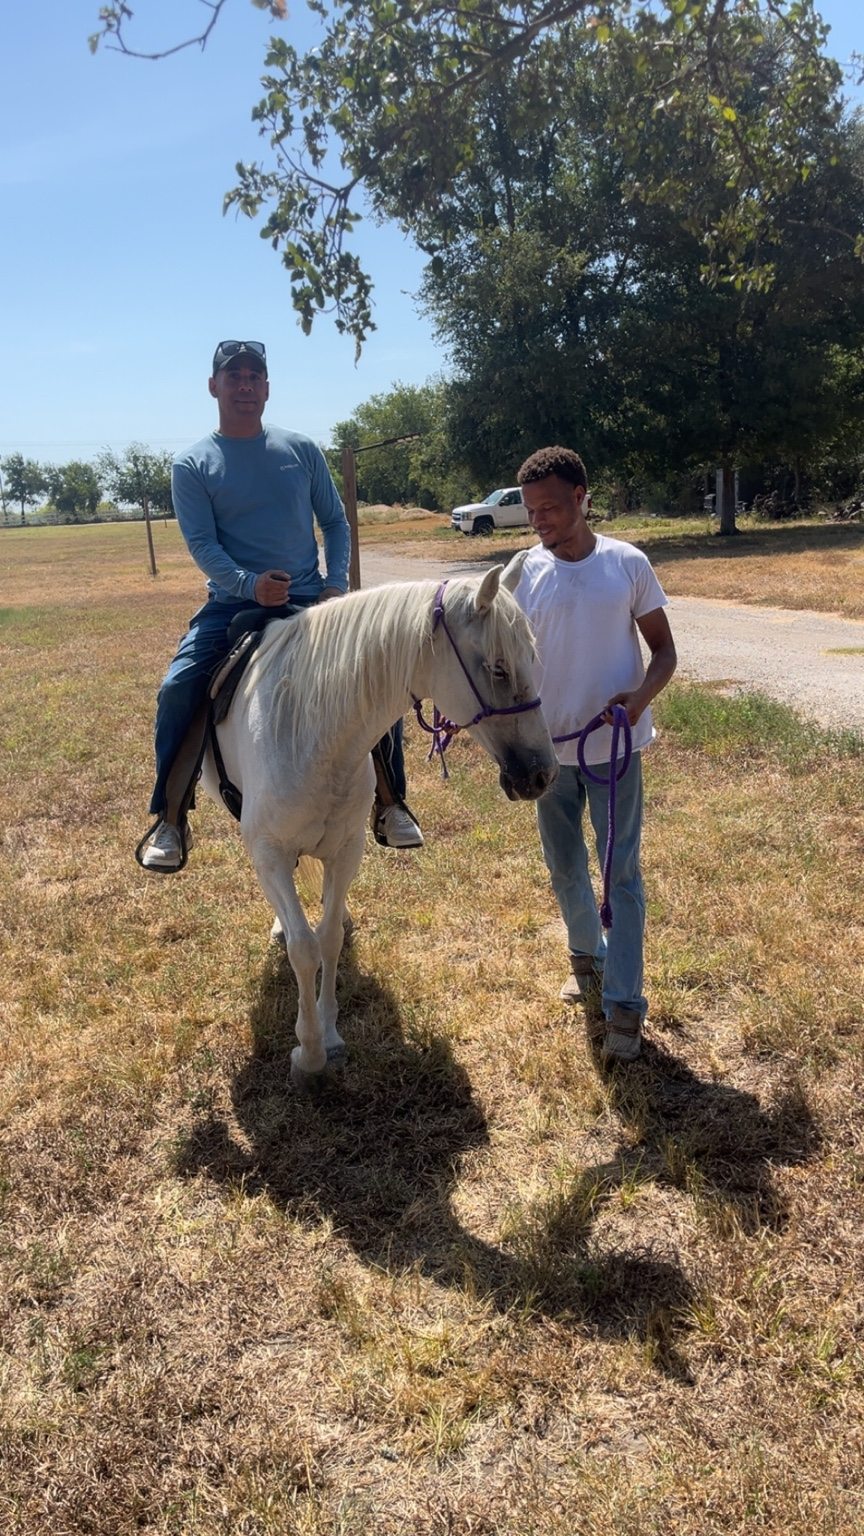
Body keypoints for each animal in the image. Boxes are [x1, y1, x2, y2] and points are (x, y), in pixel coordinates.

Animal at [200, 566, 557, 1088]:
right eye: (497, 668)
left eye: (533, 657)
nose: (542, 774)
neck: (308, 729)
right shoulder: (268, 852)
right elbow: (304, 948)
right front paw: (309, 1054)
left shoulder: (347, 849)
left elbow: (328, 938)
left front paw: (329, 1035)